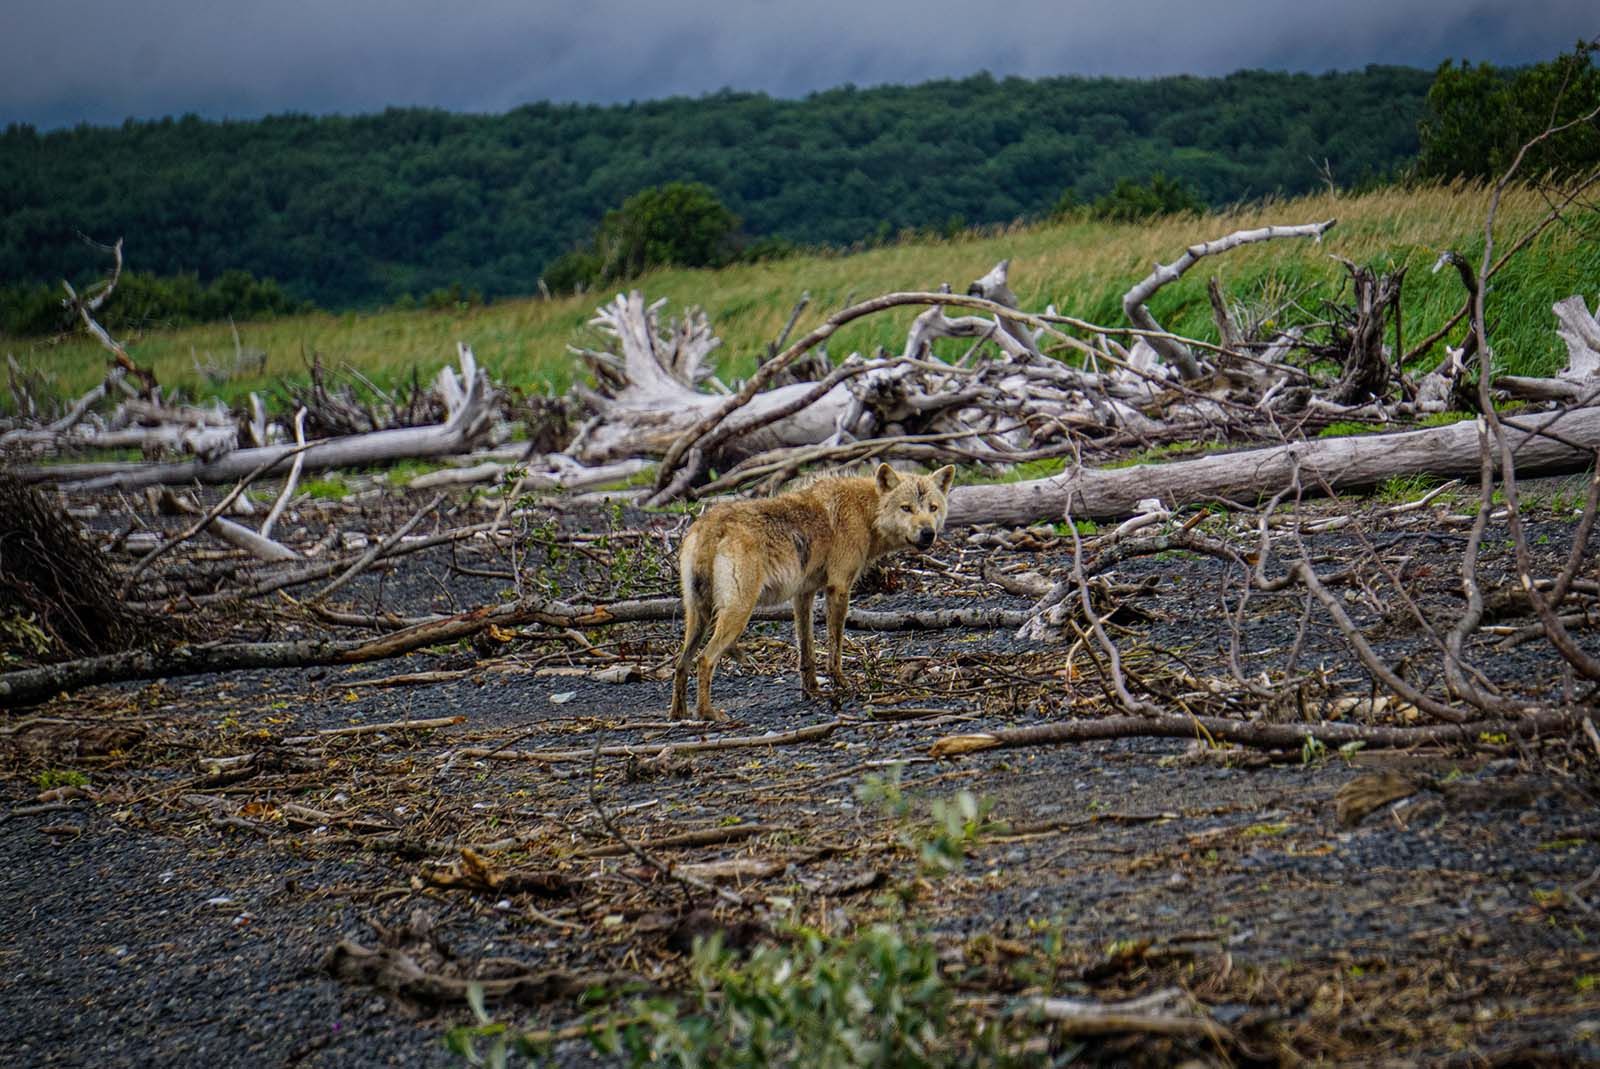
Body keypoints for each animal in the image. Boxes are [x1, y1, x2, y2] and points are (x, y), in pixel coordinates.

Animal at [670, 463, 956, 721]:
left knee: (681, 664)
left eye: (933, 508)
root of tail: (710, 525)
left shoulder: (803, 595)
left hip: (698, 616)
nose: (928, 533)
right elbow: (834, 647)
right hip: (737, 613)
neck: (865, 512)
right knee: (704, 660)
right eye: (906, 508)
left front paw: (812, 691)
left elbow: (806, 649)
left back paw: (678, 714)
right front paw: (841, 684)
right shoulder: (839, 588)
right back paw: (707, 714)